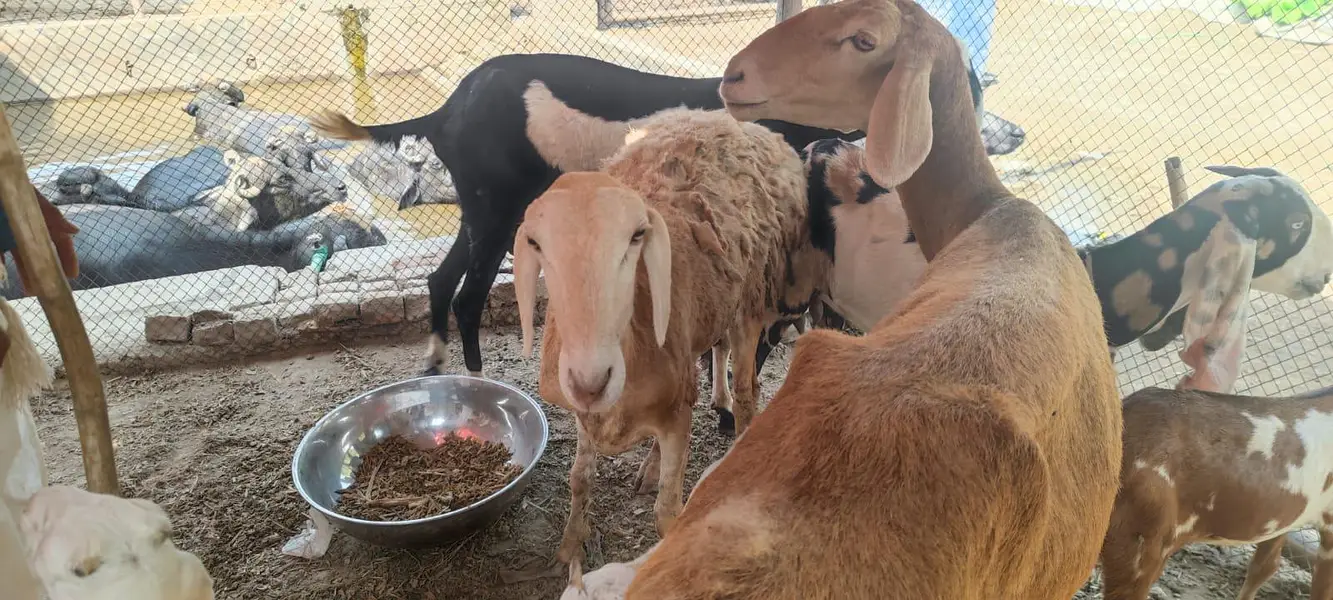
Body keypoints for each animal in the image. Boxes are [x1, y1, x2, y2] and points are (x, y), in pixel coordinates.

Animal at [310, 52, 1024, 383]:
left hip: (480, 207)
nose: (1008, 136)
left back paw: (437, 369)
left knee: (440, 280)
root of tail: (446, 108)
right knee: (466, 294)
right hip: (498, 211)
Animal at [514, 108, 827, 579]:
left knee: (748, 390)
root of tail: (741, 123)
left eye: (635, 238)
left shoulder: (677, 414)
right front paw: (569, 547)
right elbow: (579, 479)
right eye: (536, 244)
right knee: (716, 352)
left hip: (751, 302)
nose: (591, 379)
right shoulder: (588, 414)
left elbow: (668, 513)